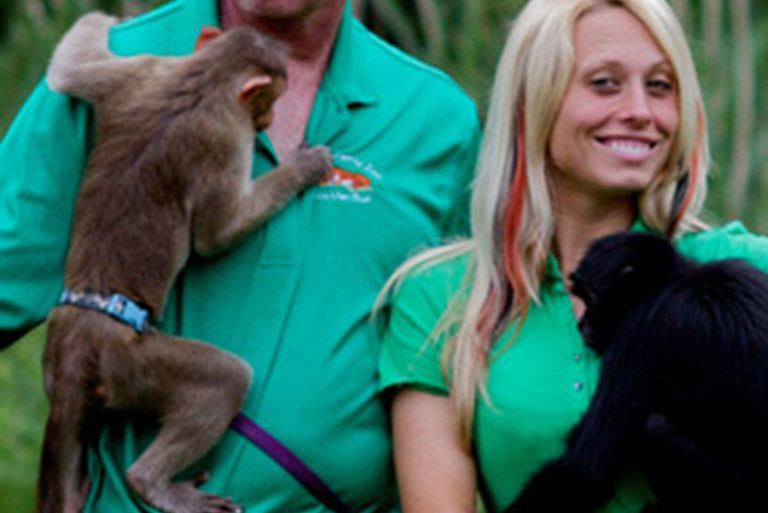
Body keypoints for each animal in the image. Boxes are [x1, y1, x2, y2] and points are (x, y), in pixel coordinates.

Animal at [39, 11, 330, 512]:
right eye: (271, 99)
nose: (270, 118)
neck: (205, 78)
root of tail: (80, 339)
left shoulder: (146, 70)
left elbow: (71, 69)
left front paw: (103, 19)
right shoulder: (224, 136)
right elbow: (217, 234)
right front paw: (304, 166)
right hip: (130, 366)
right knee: (226, 379)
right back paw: (150, 482)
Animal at [504, 231, 768, 512]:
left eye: (589, 300)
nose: (582, 324)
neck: (682, 282)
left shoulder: (641, 331)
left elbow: (585, 470)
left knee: (653, 428)